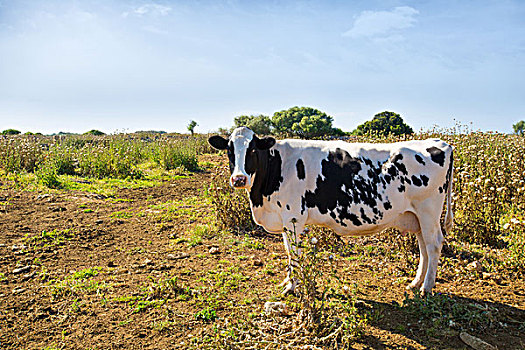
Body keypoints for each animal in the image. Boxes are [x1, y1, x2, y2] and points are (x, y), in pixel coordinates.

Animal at [207, 127, 452, 294]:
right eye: (229, 150)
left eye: (253, 149)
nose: (239, 179)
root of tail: (441, 143)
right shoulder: (284, 220)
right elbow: (288, 252)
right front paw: (288, 281)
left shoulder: (294, 217)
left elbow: (294, 254)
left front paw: (293, 286)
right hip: (417, 216)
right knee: (423, 246)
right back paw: (416, 282)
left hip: (429, 211)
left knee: (433, 245)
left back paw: (427, 287)